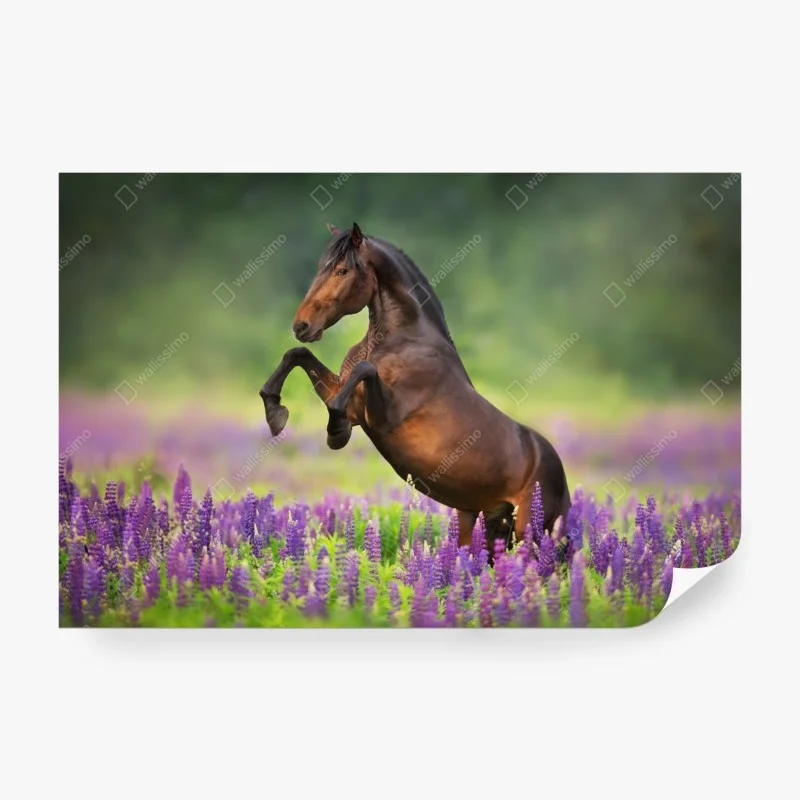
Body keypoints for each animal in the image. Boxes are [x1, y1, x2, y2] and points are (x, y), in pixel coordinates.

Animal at [259, 222, 571, 552]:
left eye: (342, 270)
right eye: (322, 267)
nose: (301, 326)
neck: (404, 338)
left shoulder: (381, 417)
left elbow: (364, 369)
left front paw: (336, 431)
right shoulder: (348, 399)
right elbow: (297, 354)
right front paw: (275, 413)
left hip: (530, 531)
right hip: (484, 521)